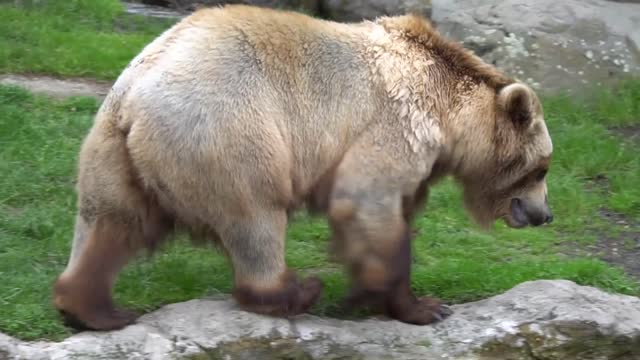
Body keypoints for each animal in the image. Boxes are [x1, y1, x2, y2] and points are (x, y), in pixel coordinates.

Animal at [52, 4, 552, 332]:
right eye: (543, 168)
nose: (545, 214)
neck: (448, 113)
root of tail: (136, 92)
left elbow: (393, 215)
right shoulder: (395, 124)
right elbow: (365, 202)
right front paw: (420, 305)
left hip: (112, 152)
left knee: (113, 222)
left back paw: (93, 308)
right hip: (227, 132)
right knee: (255, 216)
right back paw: (294, 291)